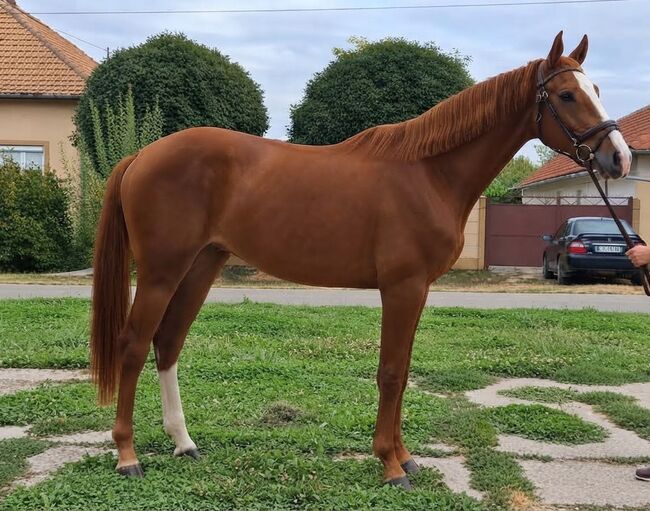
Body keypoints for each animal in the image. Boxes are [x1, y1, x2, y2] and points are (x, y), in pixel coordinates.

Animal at [90, 31, 631, 489]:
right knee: (133, 346)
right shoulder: (402, 287)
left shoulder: (418, 290)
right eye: (567, 95)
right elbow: (390, 372)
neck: (429, 174)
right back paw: (127, 456)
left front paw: (404, 456)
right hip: (161, 272)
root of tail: (141, 156)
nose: (620, 158)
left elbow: (403, 371)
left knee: (168, 343)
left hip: (201, 265)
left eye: (596, 88)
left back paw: (184, 444)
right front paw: (390, 466)